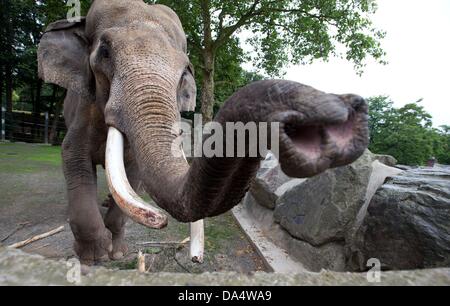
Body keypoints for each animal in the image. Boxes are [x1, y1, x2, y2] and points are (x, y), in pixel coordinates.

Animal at [37, 0, 370, 264]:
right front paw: (94, 258)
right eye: (104, 52)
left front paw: (117, 253)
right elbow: (74, 156)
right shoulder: (83, 109)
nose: (348, 108)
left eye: (185, 70)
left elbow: (133, 173)